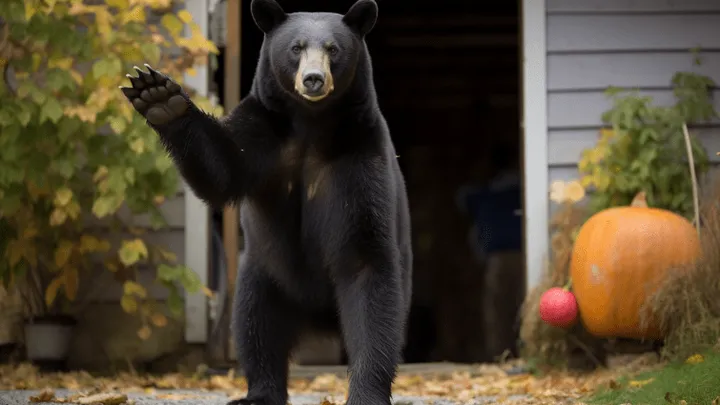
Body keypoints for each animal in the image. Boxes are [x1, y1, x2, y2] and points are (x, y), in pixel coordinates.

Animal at [119, 1, 413, 405]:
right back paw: (259, 393)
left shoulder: (359, 152)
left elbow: (367, 266)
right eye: (296, 48)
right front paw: (158, 96)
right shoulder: (264, 134)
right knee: (255, 323)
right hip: (262, 271)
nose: (313, 80)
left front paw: (367, 394)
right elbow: (222, 170)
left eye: (333, 49)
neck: (311, 123)